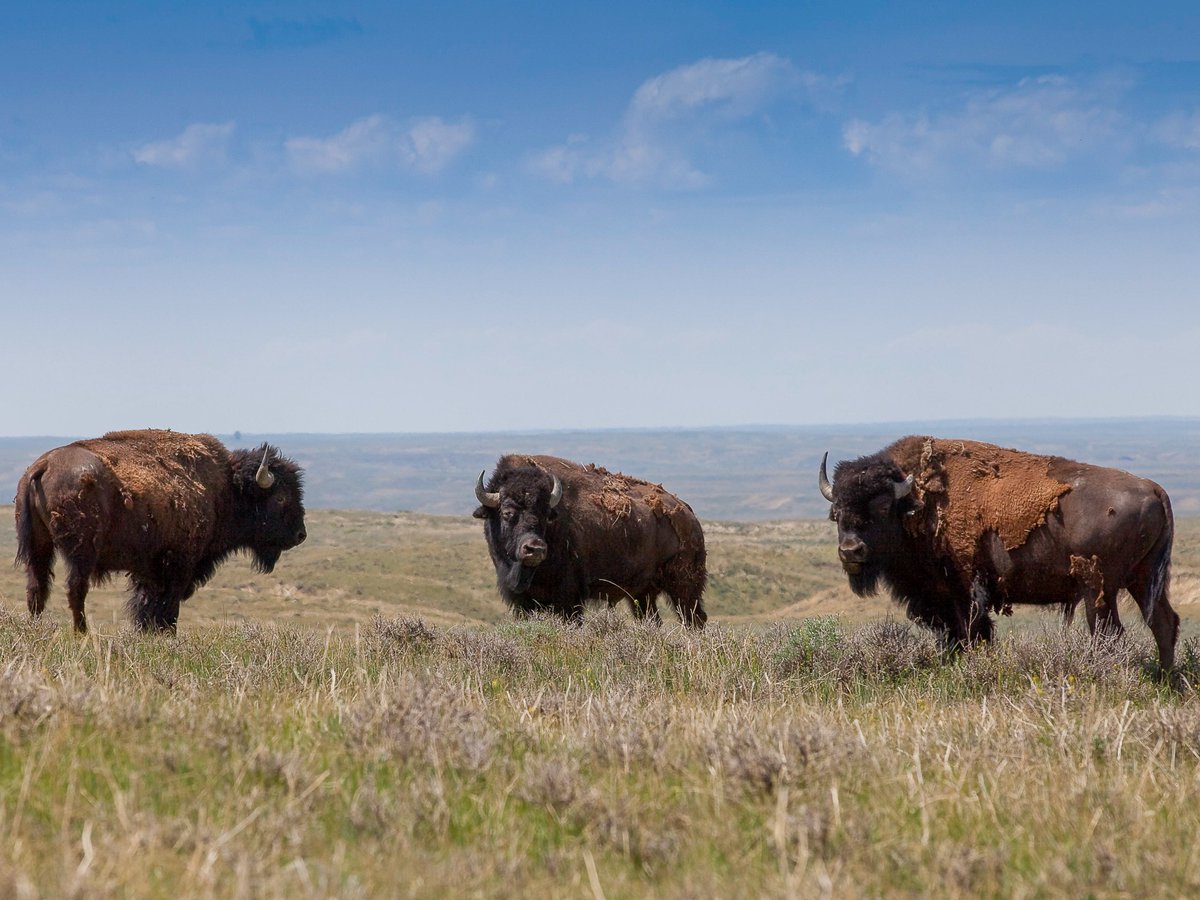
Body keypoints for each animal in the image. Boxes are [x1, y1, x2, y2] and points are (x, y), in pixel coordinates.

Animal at [15, 429, 306, 633]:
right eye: (281, 498)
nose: (300, 535)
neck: (224, 490)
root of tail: (43, 465)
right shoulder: (178, 566)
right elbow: (167, 608)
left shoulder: (150, 571)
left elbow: (148, 607)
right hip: (81, 553)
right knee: (75, 589)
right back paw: (83, 633)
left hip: (37, 547)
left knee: (37, 587)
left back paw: (36, 628)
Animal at [474, 454, 708, 627]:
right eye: (507, 512)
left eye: (545, 514)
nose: (535, 549)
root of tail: (688, 512)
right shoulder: (523, 602)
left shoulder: (569, 599)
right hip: (642, 594)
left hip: (684, 588)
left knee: (694, 619)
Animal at [819, 436, 1178, 669]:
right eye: (836, 513)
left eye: (881, 508)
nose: (851, 550)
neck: (917, 504)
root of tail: (1154, 489)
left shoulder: (964, 594)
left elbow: (971, 634)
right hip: (1143, 580)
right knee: (1164, 624)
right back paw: (1166, 682)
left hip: (1098, 589)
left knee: (1110, 633)